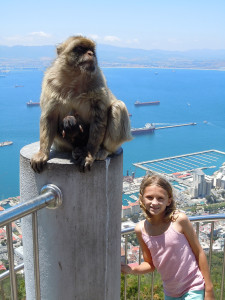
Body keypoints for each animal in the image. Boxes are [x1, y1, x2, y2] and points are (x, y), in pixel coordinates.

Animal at [29, 34, 132, 172]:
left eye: (91, 50)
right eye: (80, 48)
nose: (91, 54)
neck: (75, 77)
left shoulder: (98, 79)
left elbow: (98, 118)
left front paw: (89, 155)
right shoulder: (50, 82)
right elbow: (49, 116)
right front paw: (42, 153)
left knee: (117, 107)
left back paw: (103, 150)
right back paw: (76, 149)